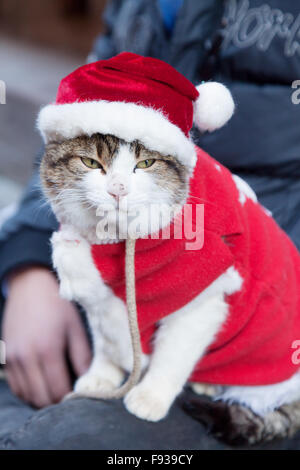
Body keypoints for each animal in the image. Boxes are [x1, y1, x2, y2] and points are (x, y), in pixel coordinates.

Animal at [40, 131, 300, 444]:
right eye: (90, 162)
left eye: (146, 163)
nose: (118, 189)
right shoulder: (101, 292)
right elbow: (106, 339)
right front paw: (101, 377)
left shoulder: (201, 302)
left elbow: (172, 356)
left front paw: (150, 397)